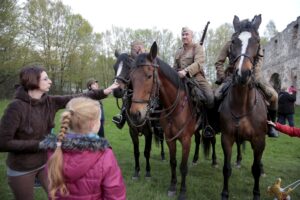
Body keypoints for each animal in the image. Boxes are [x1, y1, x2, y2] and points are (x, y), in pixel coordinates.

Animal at [112, 52, 165, 180]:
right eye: (114, 67)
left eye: (129, 67)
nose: (116, 90)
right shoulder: (133, 131)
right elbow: (136, 152)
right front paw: (136, 171)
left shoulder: (148, 132)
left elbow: (146, 151)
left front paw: (148, 172)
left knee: (161, 138)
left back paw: (163, 155)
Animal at [128, 41, 202, 199]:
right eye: (131, 78)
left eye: (149, 75)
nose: (135, 114)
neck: (175, 108)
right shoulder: (169, 139)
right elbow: (173, 162)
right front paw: (172, 187)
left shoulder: (186, 140)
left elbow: (183, 167)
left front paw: (182, 191)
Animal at [218, 14, 268, 200]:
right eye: (233, 41)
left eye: (257, 41)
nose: (243, 74)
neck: (242, 105)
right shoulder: (227, 138)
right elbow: (226, 169)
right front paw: (225, 193)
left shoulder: (259, 140)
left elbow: (255, 168)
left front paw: (256, 193)